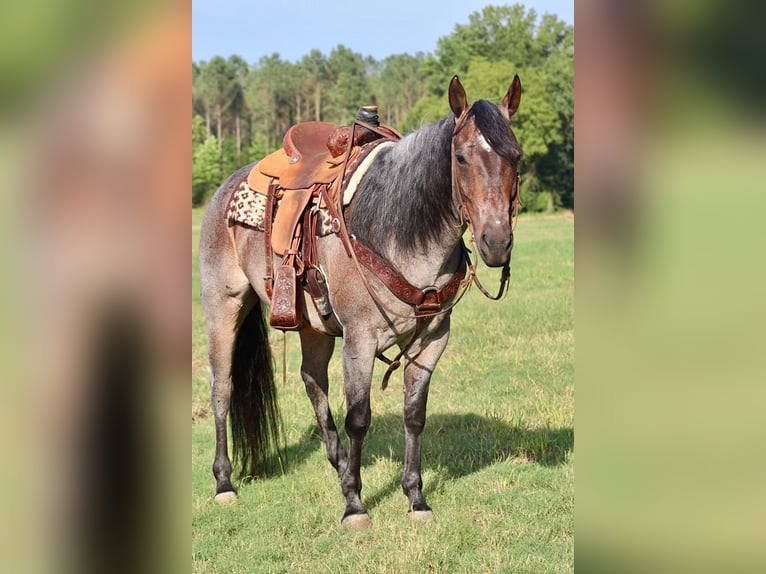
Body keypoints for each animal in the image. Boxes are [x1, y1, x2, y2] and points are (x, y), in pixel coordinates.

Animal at [199, 75, 522, 529]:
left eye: (516, 156)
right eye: (460, 157)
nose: (496, 242)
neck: (396, 229)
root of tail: (225, 188)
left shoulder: (432, 341)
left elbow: (414, 415)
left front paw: (415, 497)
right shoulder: (360, 339)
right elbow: (358, 418)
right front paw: (354, 503)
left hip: (312, 325)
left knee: (312, 380)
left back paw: (338, 464)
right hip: (223, 306)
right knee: (222, 387)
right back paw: (224, 482)